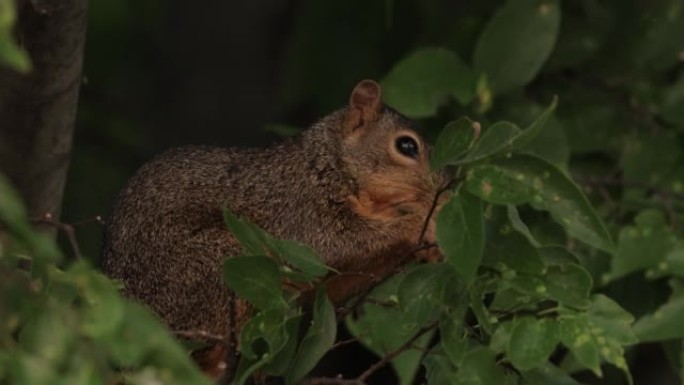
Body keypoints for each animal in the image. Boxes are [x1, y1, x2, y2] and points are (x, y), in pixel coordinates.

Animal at [100, 80, 444, 378]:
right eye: (406, 145)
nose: (443, 181)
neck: (327, 161)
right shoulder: (302, 209)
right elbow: (336, 244)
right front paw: (423, 221)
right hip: (206, 268)